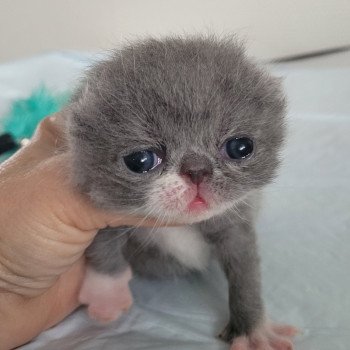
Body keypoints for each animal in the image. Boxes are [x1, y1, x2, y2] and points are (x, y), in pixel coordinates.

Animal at [65, 36, 296, 350]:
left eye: (240, 147)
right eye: (140, 160)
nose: (197, 170)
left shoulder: (236, 221)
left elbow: (246, 270)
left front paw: (252, 329)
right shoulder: (99, 207)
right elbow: (102, 243)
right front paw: (107, 294)